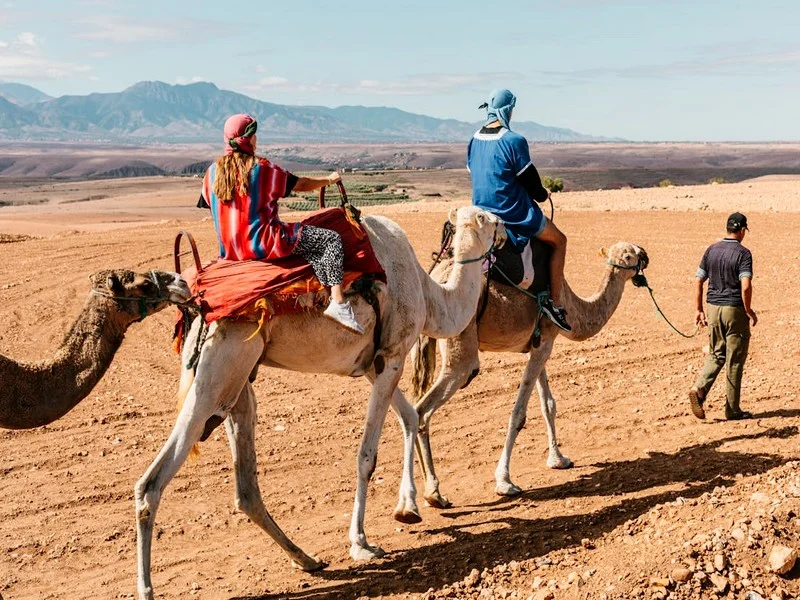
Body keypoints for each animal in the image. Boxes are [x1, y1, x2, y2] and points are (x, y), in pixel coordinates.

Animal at [132, 206, 506, 600]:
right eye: (487, 218)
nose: (506, 230)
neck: (430, 295)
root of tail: (197, 304)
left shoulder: (373, 364)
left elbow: (409, 416)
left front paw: (414, 505)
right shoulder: (392, 355)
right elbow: (368, 456)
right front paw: (362, 542)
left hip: (238, 380)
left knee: (246, 488)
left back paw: (307, 559)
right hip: (218, 368)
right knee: (151, 484)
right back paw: (147, 588)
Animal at [410, 239, 648, 506]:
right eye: (630, 254)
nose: (645, 254)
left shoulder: (539, 343)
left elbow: (548, 404)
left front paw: (558, 459)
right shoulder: (545, 340)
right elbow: (519, 414)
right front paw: (505, 482)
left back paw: (425, 492)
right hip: (461, 347)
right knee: (423, 409)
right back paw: (434, 494)